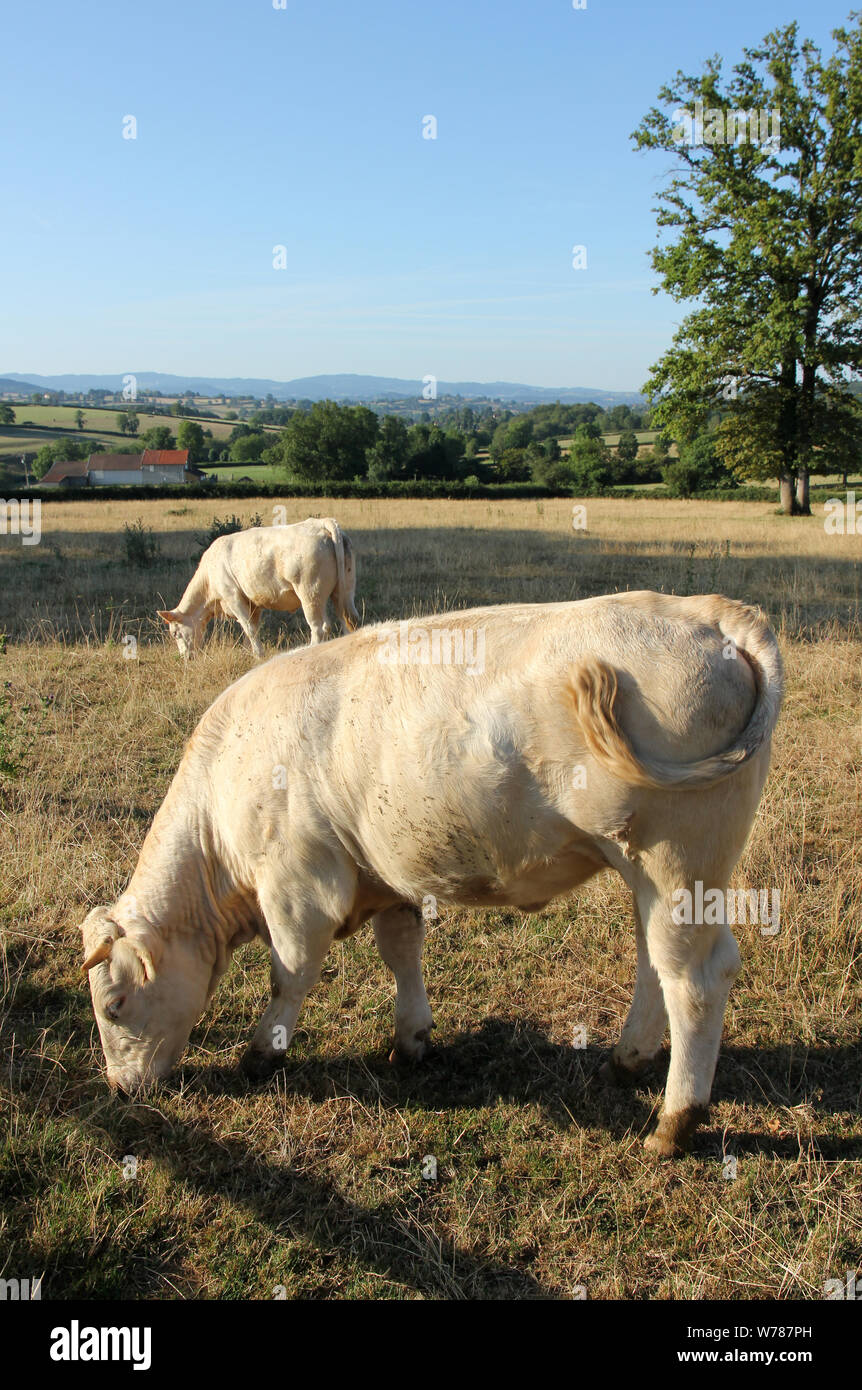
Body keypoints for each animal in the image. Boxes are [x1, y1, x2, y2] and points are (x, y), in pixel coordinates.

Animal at [84, 592, 784, 1156]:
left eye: (114, 1006)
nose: (119, 1091)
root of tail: (709, 611)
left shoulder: (298, 887)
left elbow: (290, 976)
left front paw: (260, 1054)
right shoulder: (387, 875)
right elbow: (402, 954)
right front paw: (411, 1038)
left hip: (677, 859)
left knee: (696, 978)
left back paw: (674, 1122)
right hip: (656, 877)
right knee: (655, 965)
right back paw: (627, 1060)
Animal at [159, 517, 361, 656]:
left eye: (175, 633)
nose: (186, 657)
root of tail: (321, 523)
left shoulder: (233, 597)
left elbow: (248, 627)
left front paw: (258, 654)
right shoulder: (253, 603)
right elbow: (252, 628)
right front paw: (249, 651)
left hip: (310, 593)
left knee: (319, 627)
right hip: (343, 591)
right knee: (346, 621)